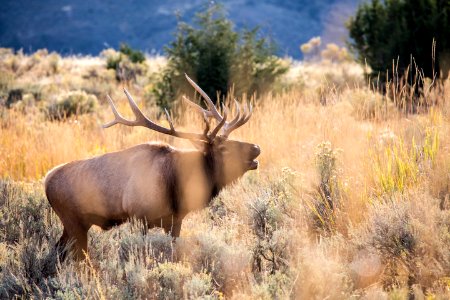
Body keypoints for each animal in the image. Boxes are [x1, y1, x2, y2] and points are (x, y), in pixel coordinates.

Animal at [45, 74, 260, 258]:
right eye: (223, 148)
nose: (256, 147)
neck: (176, 185)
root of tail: (46, 180)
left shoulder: (175, 220)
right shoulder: (137, 217)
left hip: (77, 224)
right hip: (72, 220)